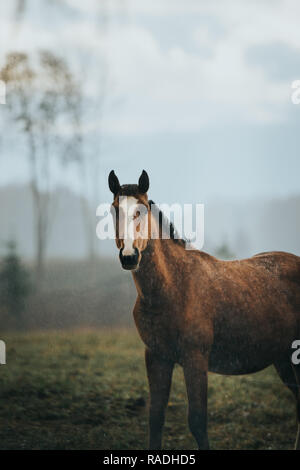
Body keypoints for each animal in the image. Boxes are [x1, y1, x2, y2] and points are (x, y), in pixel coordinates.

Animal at [108, 170, 300, 452]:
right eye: (114, 209)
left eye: (141, 210)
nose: (129, 256)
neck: (172, 287)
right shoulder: (156, 357)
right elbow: (156, 419)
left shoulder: (195, 359)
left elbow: (197, 421)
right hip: (284, 358)